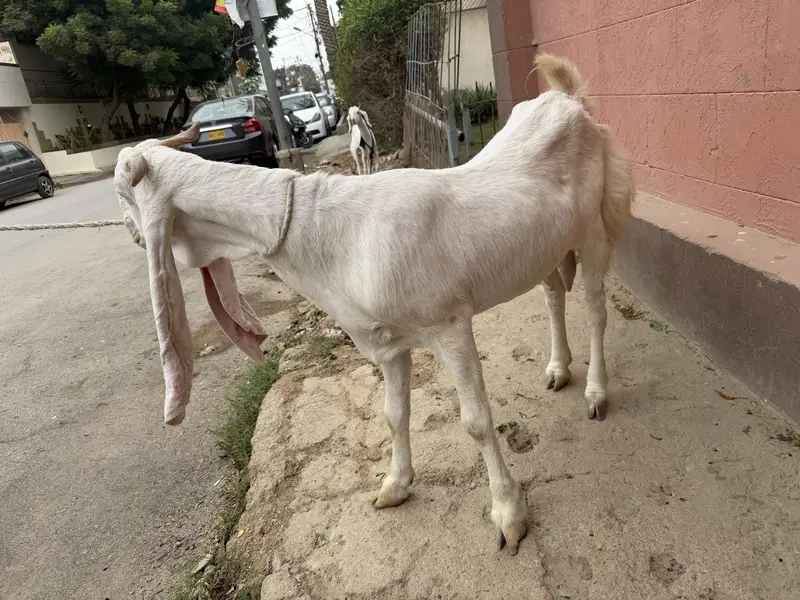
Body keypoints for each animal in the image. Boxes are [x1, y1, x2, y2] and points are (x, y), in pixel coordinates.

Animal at [114, 54, 634, 555]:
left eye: (125, 192)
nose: (134, 235)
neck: (329, 234)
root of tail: (568, 100)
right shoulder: (388, 341)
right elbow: (393, 415)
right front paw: (394, 486)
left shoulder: (450, 325)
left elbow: (477, 423)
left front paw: (508, 515)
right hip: (544, 246)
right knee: (553, 295)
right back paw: (558, 369)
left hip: (593, 229)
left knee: (595, 309)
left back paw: (595, 392)